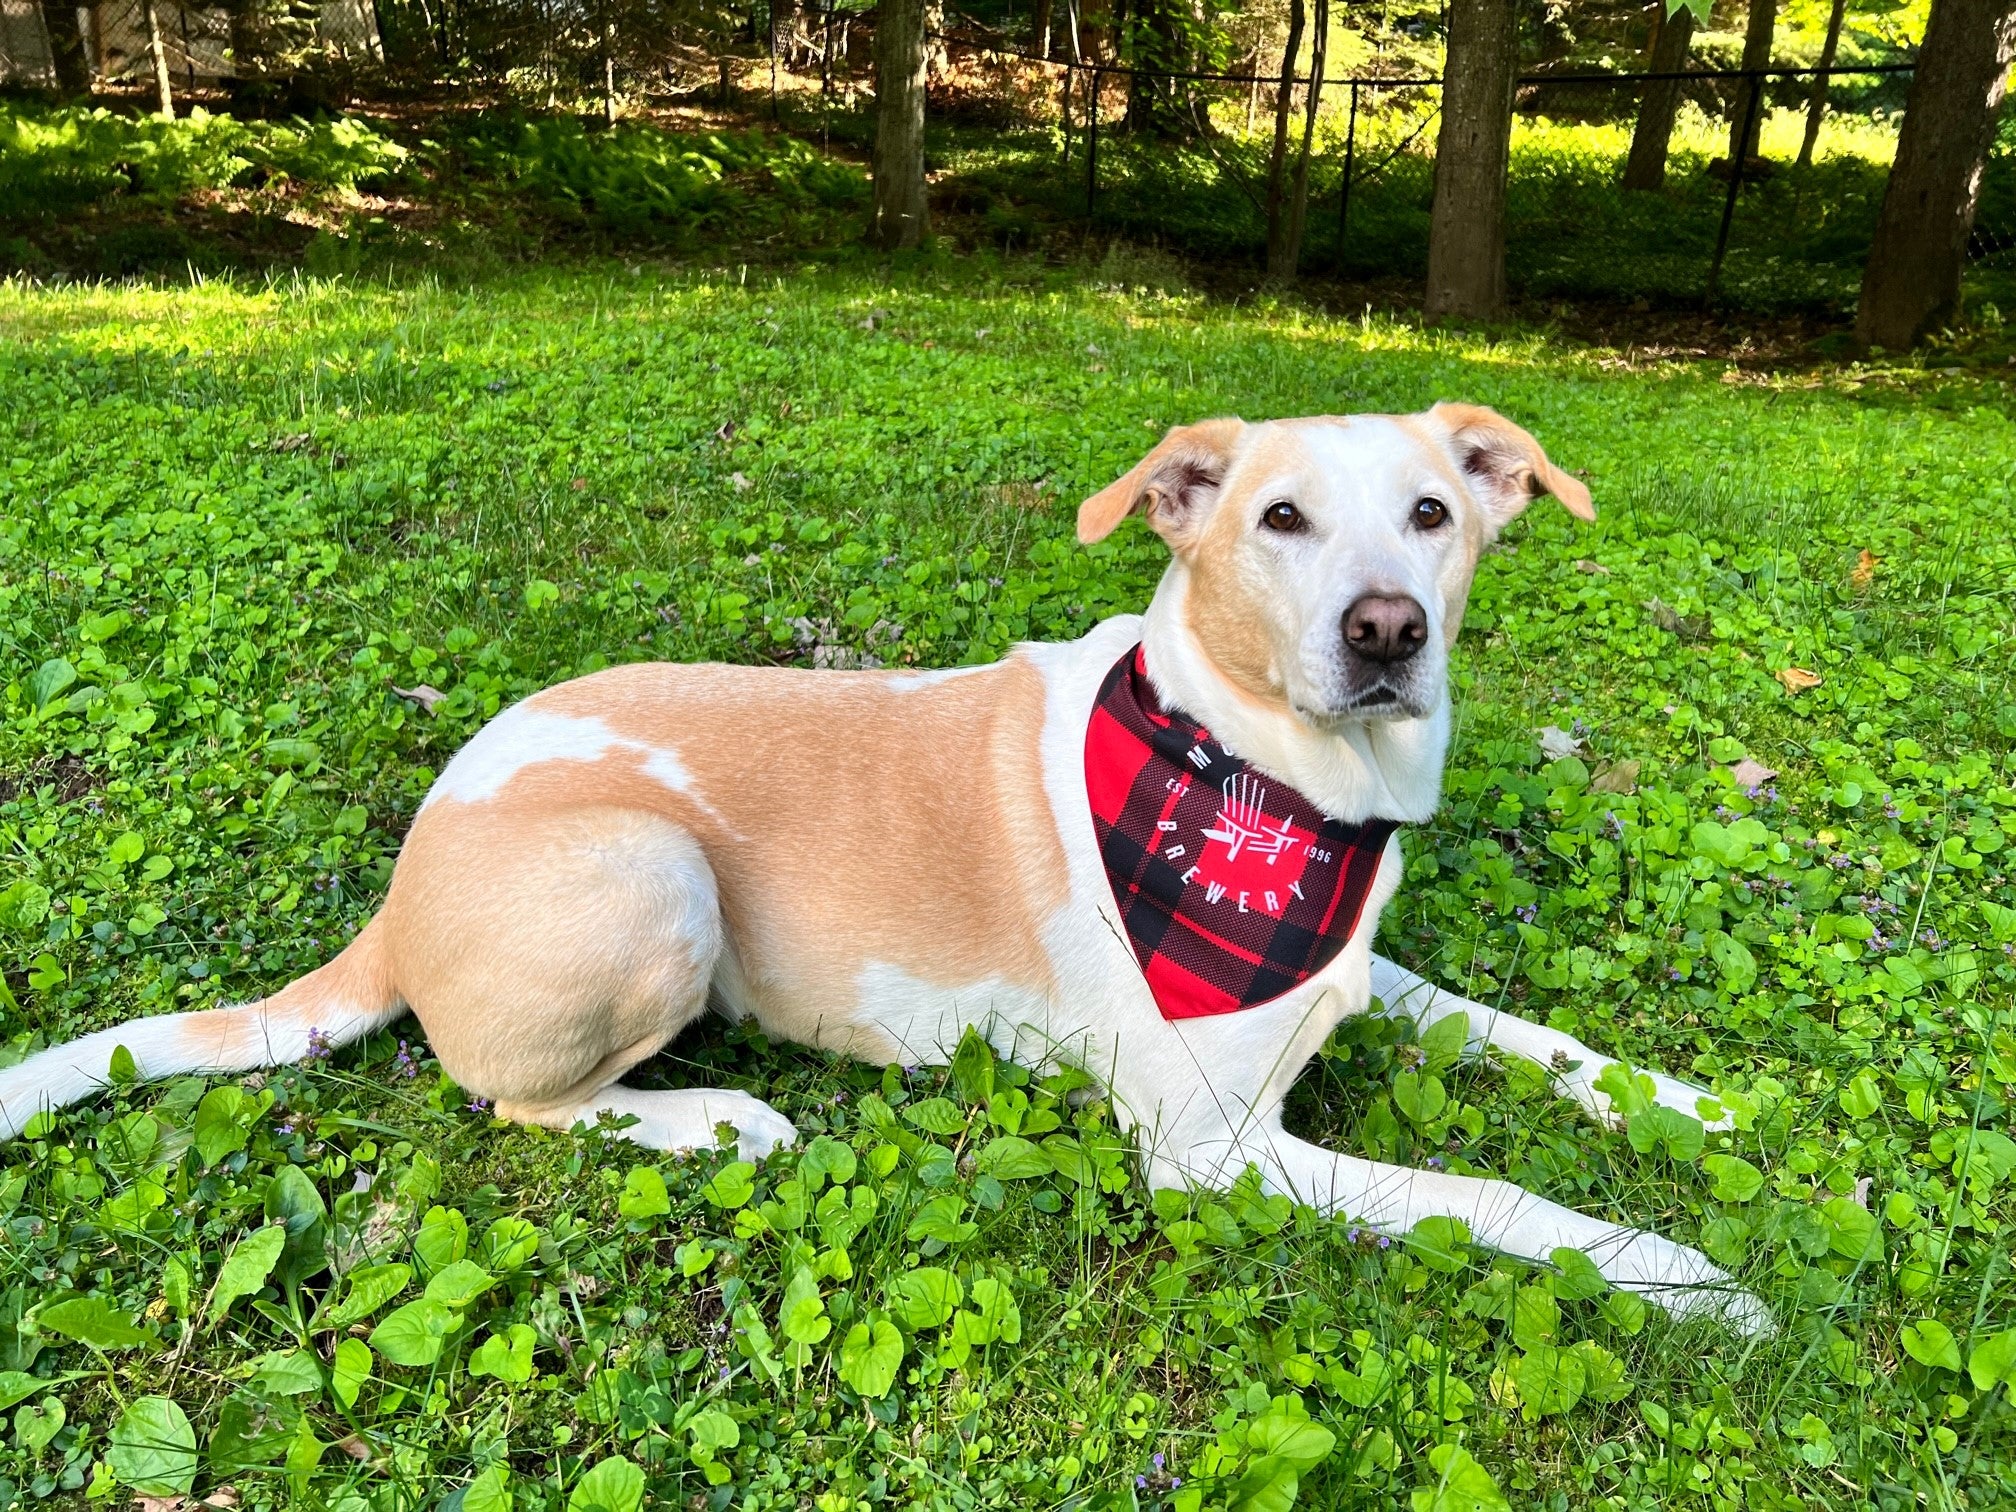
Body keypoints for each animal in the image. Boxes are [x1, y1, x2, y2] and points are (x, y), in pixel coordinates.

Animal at [0, 405, 1766, 1338]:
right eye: (1277, 521)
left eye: (1432, 513)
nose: (1388, 631)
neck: (1274, 788)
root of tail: (404, 876)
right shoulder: (1213, 1154)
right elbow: (1496, 1200)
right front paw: (1686, 1277)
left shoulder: (1354, 968)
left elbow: (1520, 1034)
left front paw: (1687, 1108)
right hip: (655, 876)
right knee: (509, 1100)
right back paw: (716, 1116)